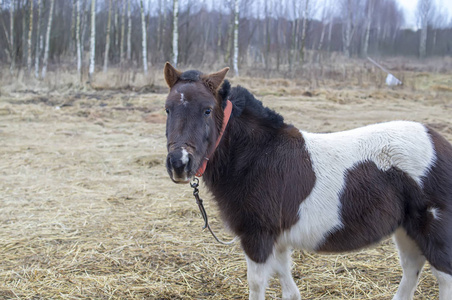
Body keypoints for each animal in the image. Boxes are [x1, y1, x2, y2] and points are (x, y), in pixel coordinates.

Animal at [164, 62, 452, 298]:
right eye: (167, 109)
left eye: (207, 110)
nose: (179, 164)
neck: (257, 155)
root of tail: (441, 145)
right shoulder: (278, 239)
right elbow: (288, 286)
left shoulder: (257, 236)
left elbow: (257, 284)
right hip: (406, 229)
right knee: (412, 269)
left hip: (433, 229)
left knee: (443, 276)